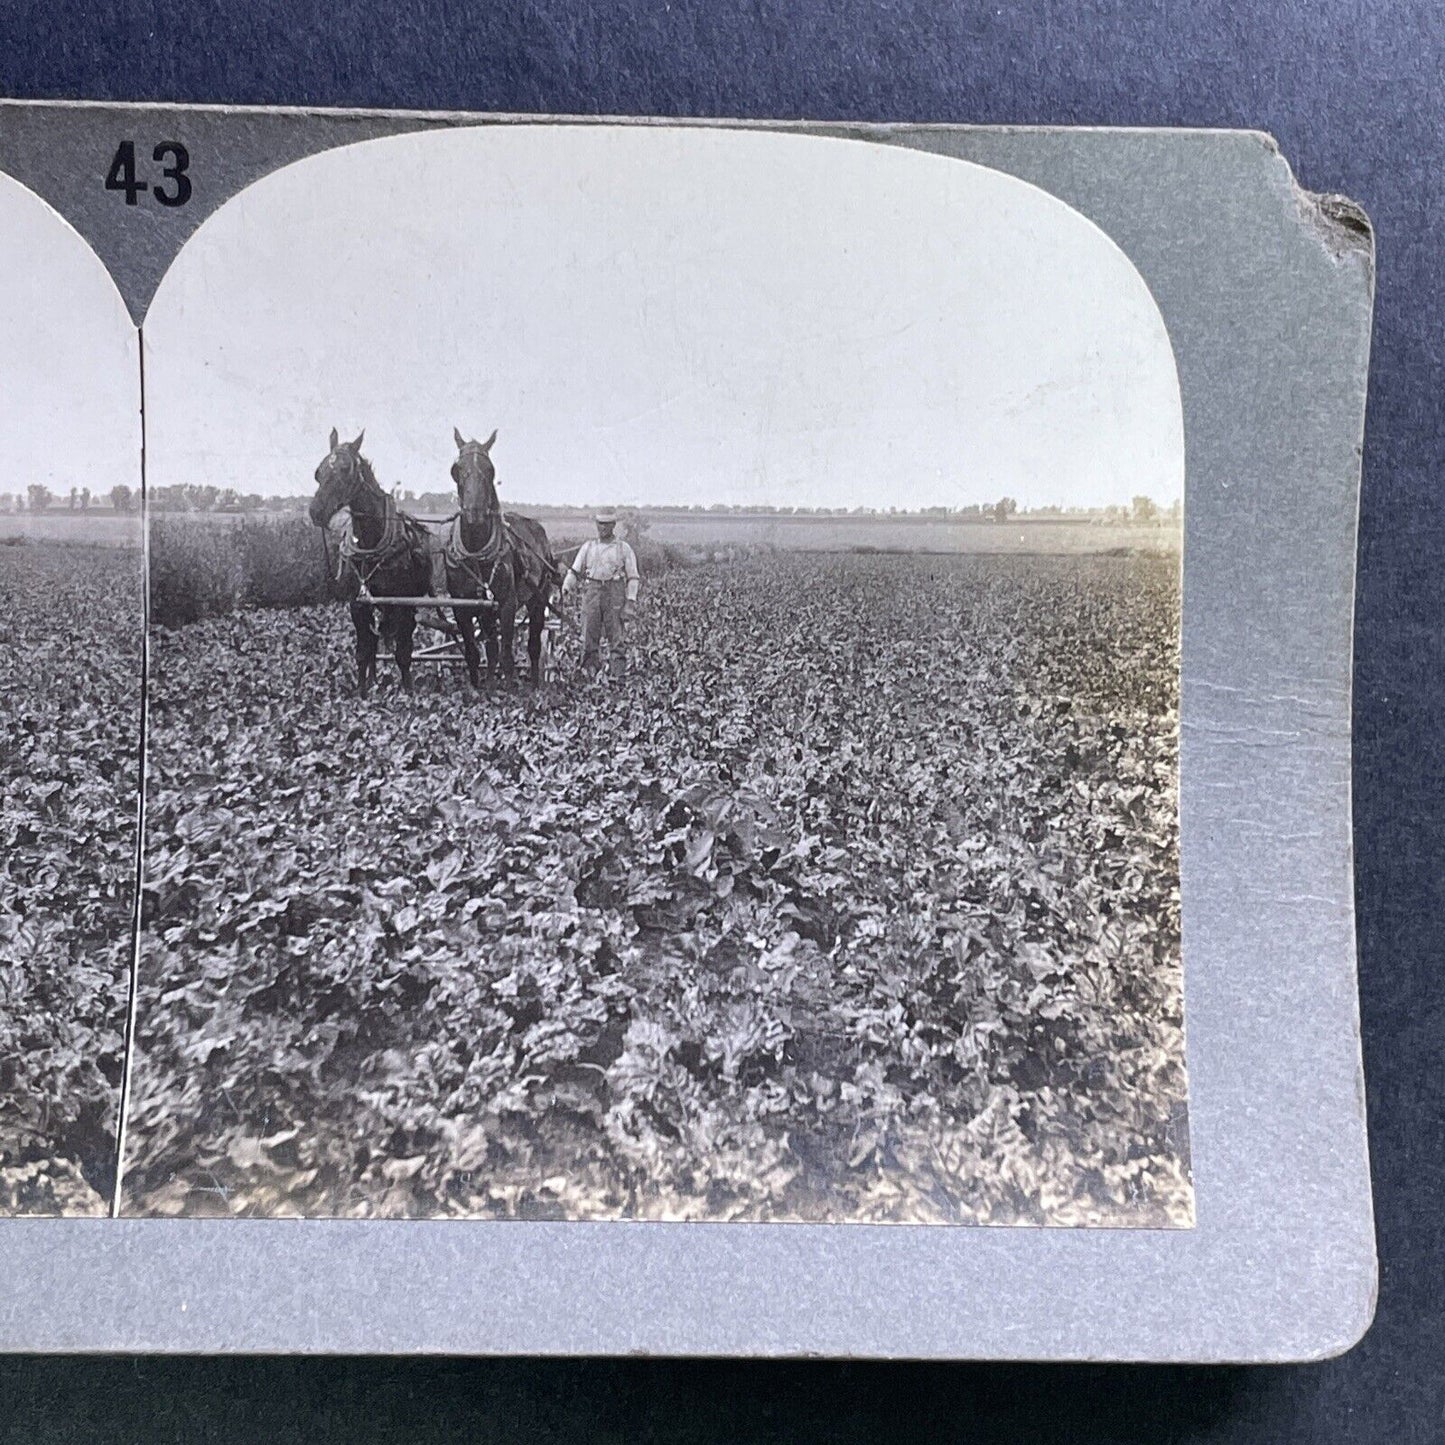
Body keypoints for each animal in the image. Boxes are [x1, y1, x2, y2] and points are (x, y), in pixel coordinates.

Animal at [307, 424, 430, 696]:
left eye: (345, 469)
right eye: (318, 471)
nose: (316, 511)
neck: (372, 544)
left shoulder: (403, 604)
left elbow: (403, 652)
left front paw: (409, 693)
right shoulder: (358, 605)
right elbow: (364, 651)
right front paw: (362, 693)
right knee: (375, 641)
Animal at [445, 424, 557, 684]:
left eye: (490, 469)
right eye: (456, 470)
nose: (474, 514)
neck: (476, 552)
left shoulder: (507, 605)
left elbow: (507, 655)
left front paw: (509, 689)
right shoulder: (462, 607)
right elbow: (475, 653)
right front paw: (480, 688)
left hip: (538, 598)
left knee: (534, 644)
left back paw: (535, 683)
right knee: (492, 647)